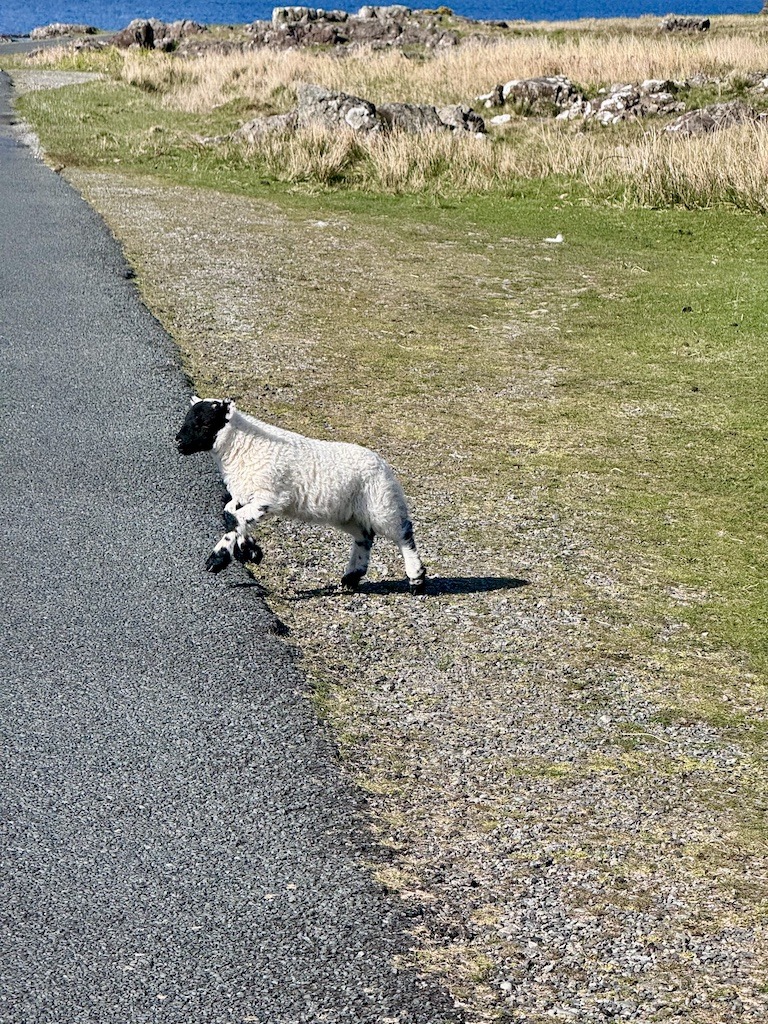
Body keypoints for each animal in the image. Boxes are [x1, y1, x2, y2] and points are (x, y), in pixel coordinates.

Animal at [175, 397, 427, 595]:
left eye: (205, 422)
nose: (178, 442)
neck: (242, 447)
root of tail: (383, 465)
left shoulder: (269, 497)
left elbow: (234, 519)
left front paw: (218, 559)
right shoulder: (245, 496)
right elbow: (232, 516)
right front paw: (249, 550)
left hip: (381, 503)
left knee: (403, 534)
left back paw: (416, 579)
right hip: (347, 513)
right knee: (365, 536)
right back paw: (351, 577)